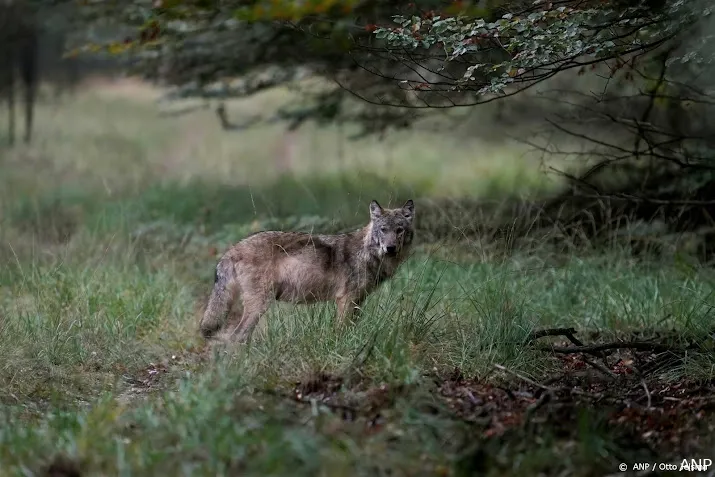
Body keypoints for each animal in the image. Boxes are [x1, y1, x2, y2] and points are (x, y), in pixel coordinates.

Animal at [199, 198, 416, 342]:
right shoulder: (346, 299)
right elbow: (341, 331)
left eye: (399, 230)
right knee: (236, 337)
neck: (367, 253)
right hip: (259, 305)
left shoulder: (358, 301)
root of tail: (232, 249)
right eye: (383, 229)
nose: (390, 248)